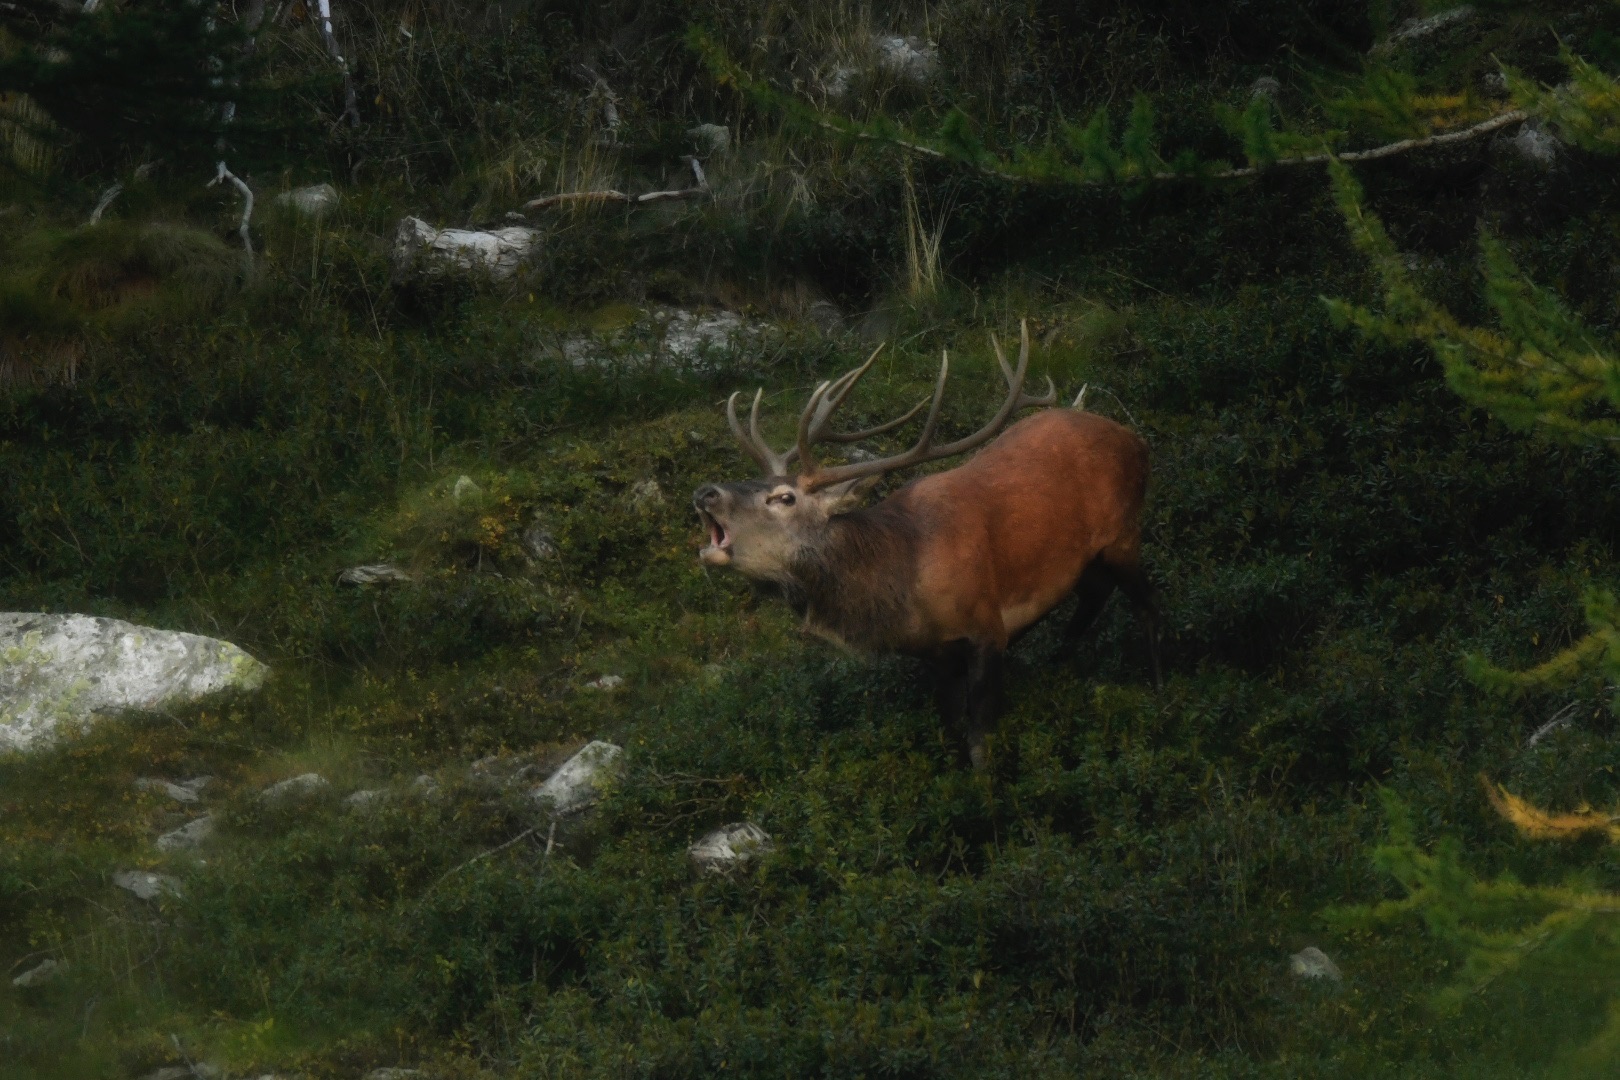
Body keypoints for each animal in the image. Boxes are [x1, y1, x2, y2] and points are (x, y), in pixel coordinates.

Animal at [692, 321, 1159, 769]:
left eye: (785, 497)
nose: (705, 491)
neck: (906, 586)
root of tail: (1137, 440)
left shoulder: (987, 626)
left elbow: (979, 742)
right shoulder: (935, 656)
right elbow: (950, 733)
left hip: (1124, 533)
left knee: (1146, 604)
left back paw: (1156, 682)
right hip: (1088, 558)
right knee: (1095, 594)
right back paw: (1057, 667)